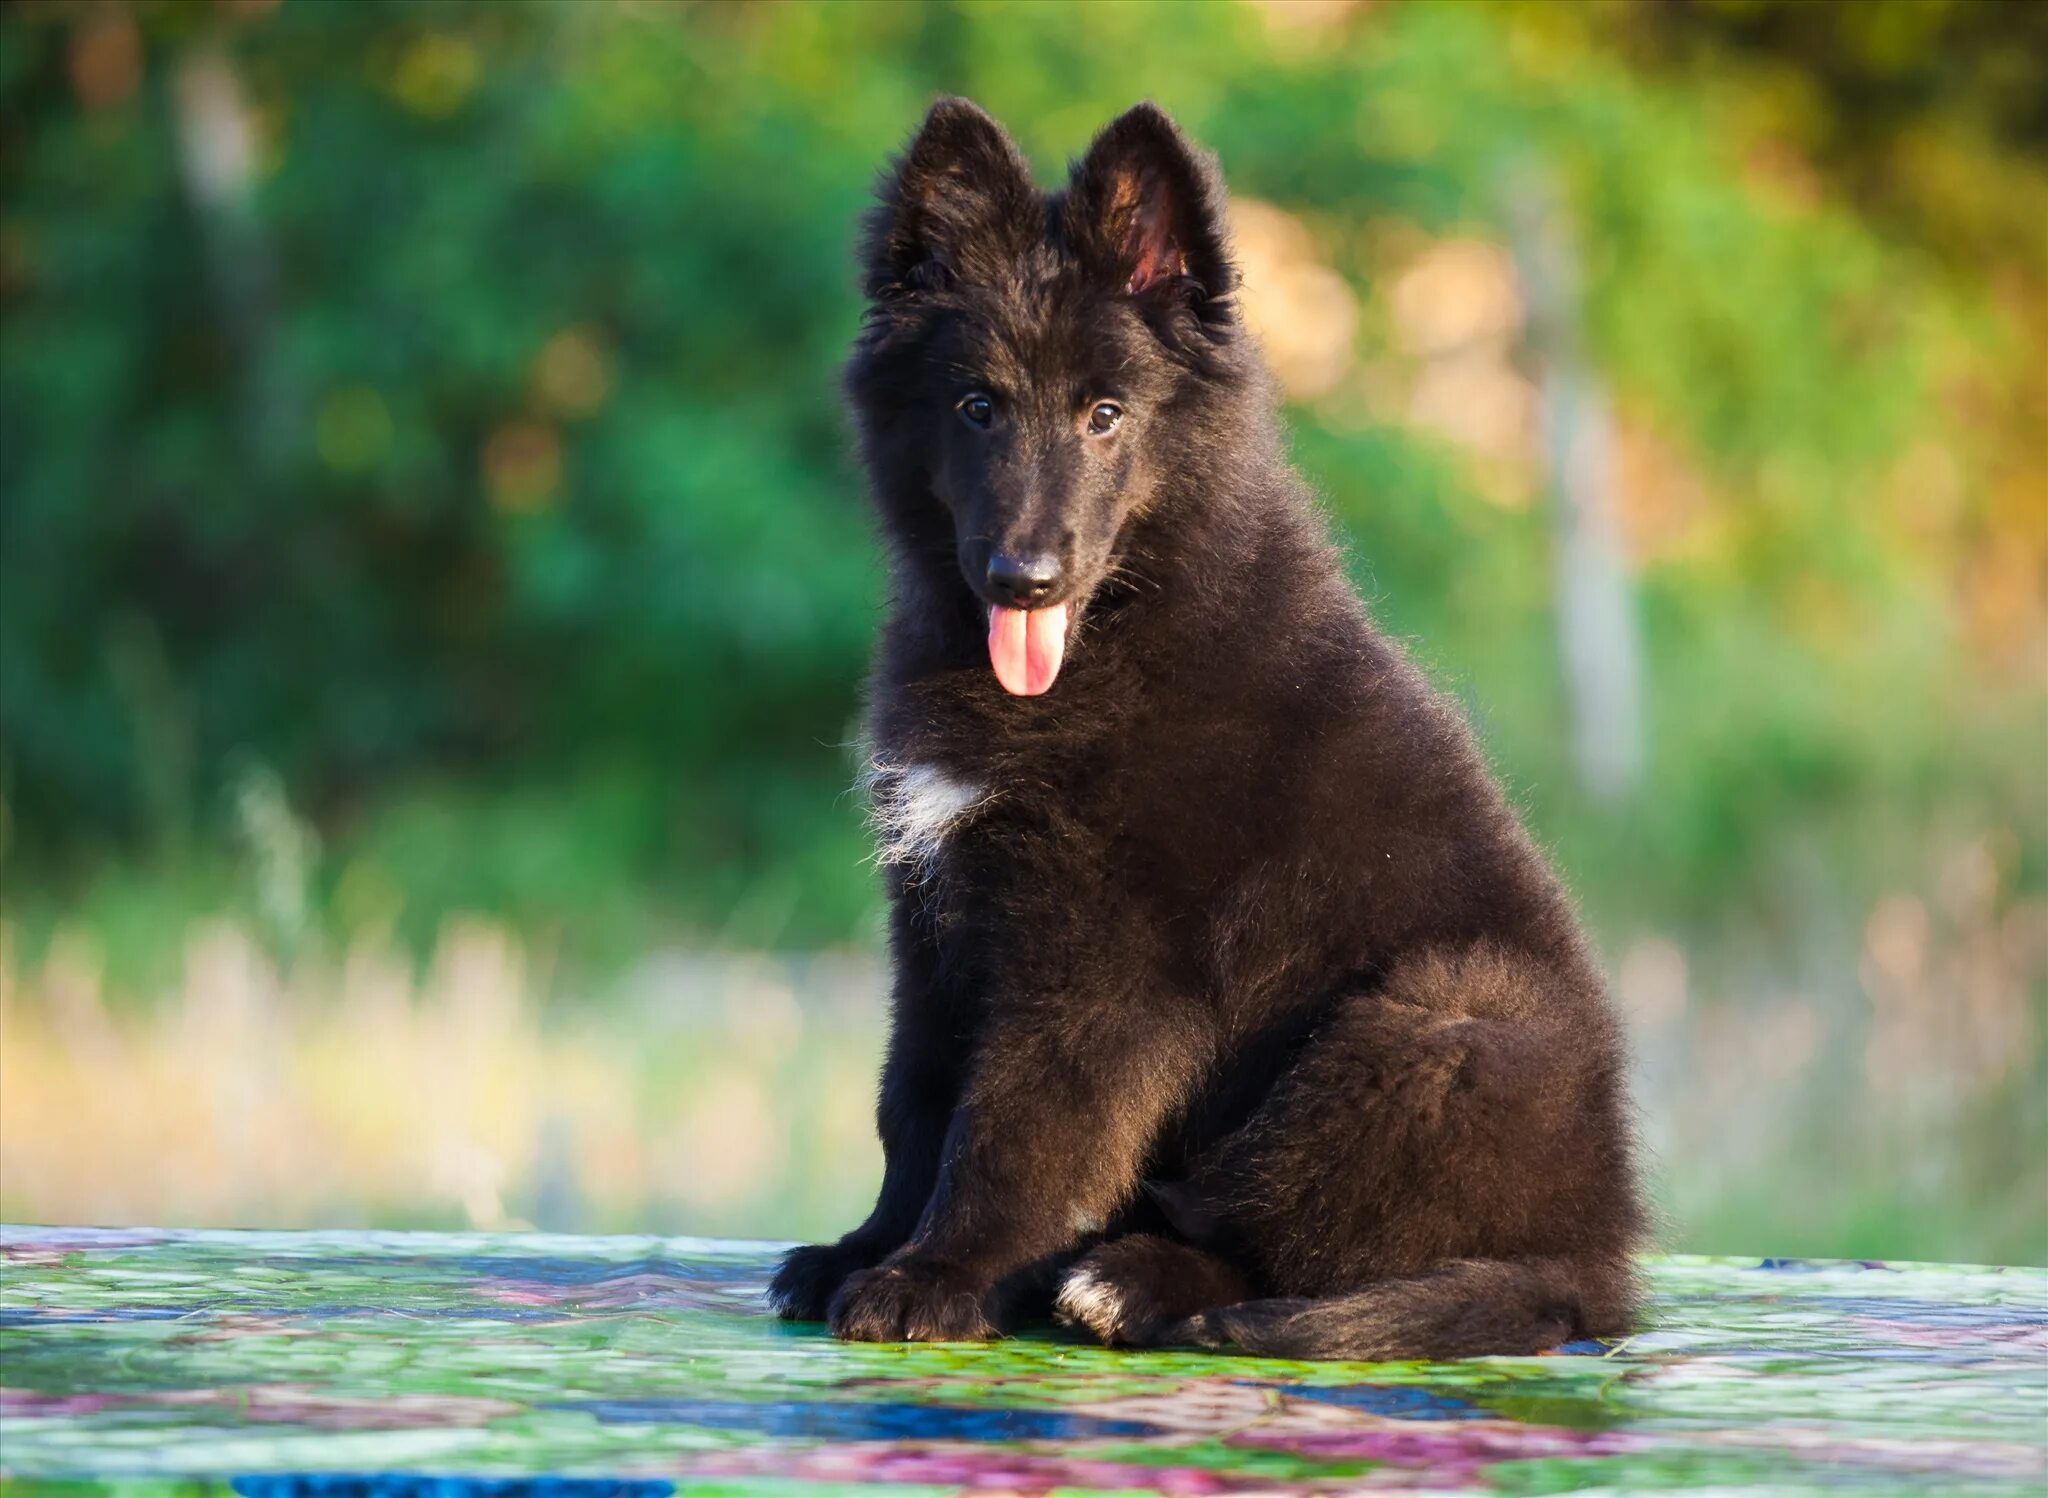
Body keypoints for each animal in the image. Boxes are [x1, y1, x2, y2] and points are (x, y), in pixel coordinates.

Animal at [770, 93, 1646, 1360]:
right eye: (975, 406)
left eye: (1104, 416)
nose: (1023, 578)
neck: (1118, 631)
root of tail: (1595, 1265)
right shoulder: (937, 912)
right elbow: (914, 1100)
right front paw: (867, 1246)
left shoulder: (1101, 962)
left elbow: (1012, 1126)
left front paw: (936, 1274)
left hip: (1430, 1021)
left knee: (1294, 1246)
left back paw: (1122, 1280)